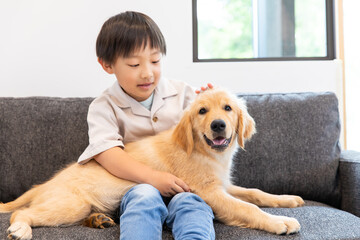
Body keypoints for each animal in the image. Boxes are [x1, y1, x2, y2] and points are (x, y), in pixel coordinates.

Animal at [0, 89, 304, 239]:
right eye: (202, 111)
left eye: (227, 108)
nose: (218, 125)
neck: (203, 151)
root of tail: (43, 185)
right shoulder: (209, 192)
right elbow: (247, 207)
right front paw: (279, 222)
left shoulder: (223, 185)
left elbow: (256, 193)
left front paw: (287, 200)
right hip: (70, 204)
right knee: (21, 213)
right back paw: (21, 229)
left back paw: (98, 220)